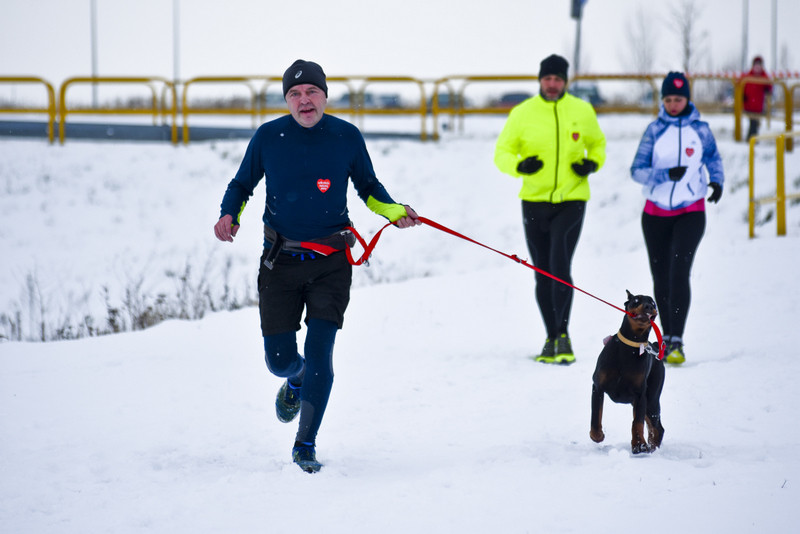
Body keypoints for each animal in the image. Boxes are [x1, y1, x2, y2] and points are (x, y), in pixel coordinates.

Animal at [592, 292, 664, 454]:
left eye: (653, 302)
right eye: (636, 300)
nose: (648, 306)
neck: (632, 344)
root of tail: (655, 346)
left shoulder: (640, 394)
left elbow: (637, 423)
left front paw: (639, 445)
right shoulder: (597, 386)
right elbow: (596, 415)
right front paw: (597, 435)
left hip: (652, 398)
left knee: (657, 427)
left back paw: (652, 448)